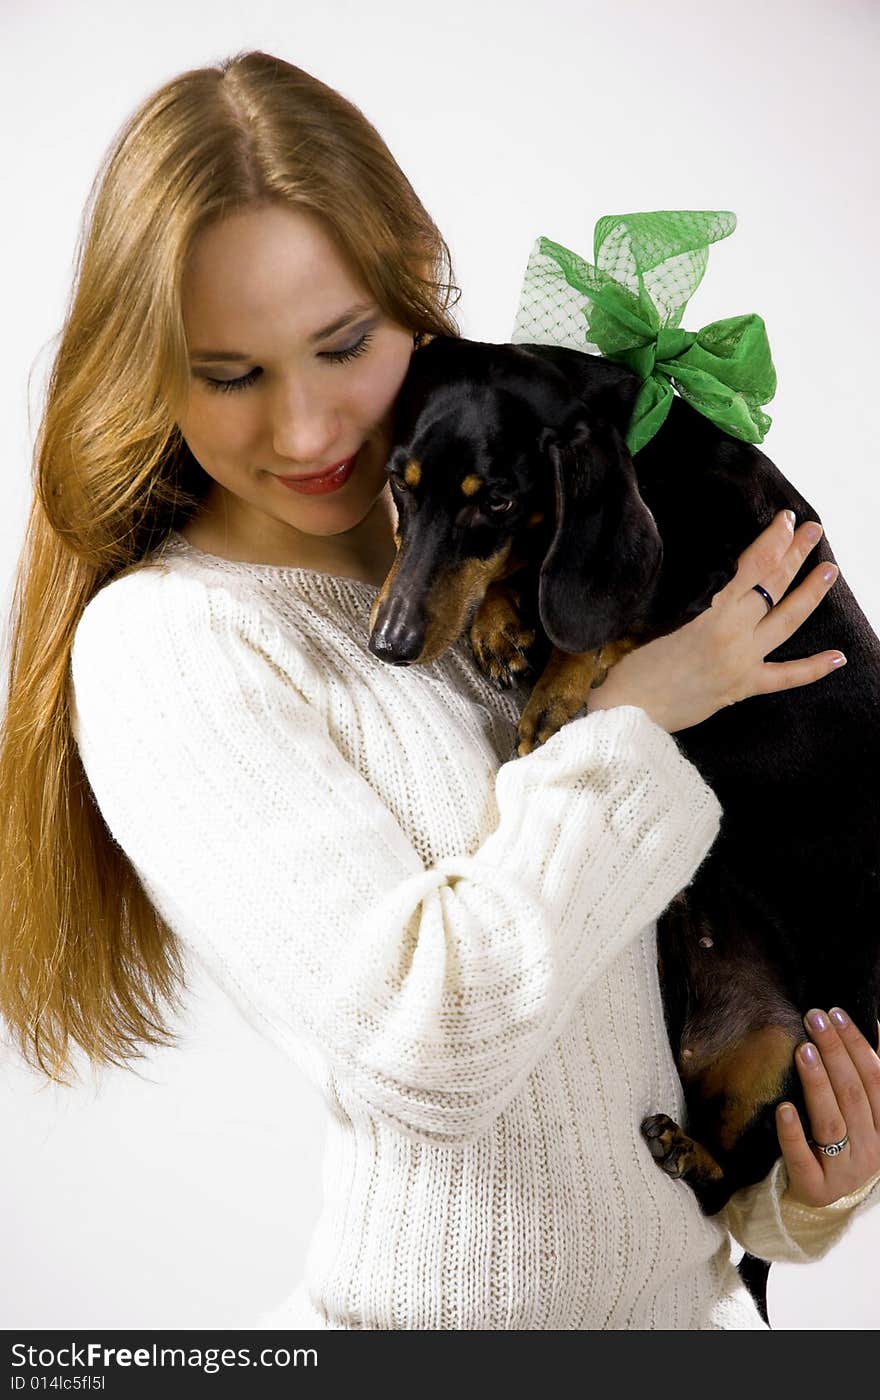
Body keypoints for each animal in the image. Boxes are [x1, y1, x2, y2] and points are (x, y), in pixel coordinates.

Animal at [363, 336, 878, 1226]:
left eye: (498, 501)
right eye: (403, 481)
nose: (389, 643)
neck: (653, 465)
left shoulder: (726, 587)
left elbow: (623, 618)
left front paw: (554, 692)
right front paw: (502, 627)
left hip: (802, 1050)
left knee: (735, 1180)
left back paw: (690, 1154)